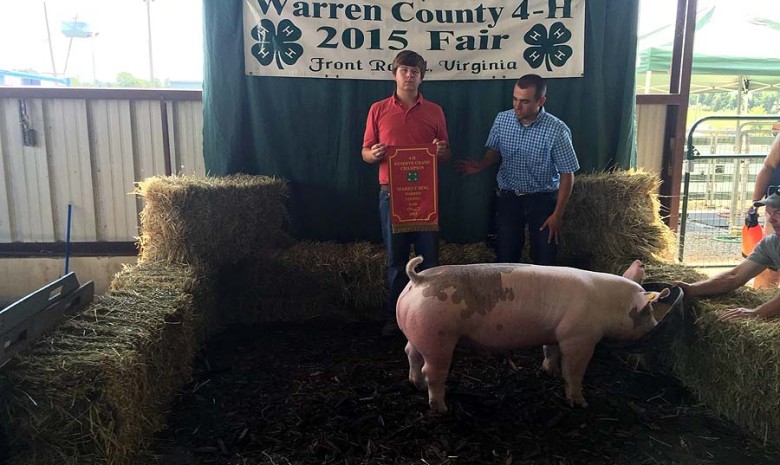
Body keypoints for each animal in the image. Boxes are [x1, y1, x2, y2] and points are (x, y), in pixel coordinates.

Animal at [400, 256, 668, 412]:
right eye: (647, 311)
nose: (656, 326)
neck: (608, 304)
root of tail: (419, 278)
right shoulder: (579, 337)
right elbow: (574, 371)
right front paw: (580, 403)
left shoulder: (556, 333)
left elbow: (550, 351)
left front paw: (548, 372)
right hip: (438, 337)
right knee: (432, 371)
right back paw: (440, 408)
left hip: (418, 334)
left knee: (411, 353)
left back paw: (416, 384)